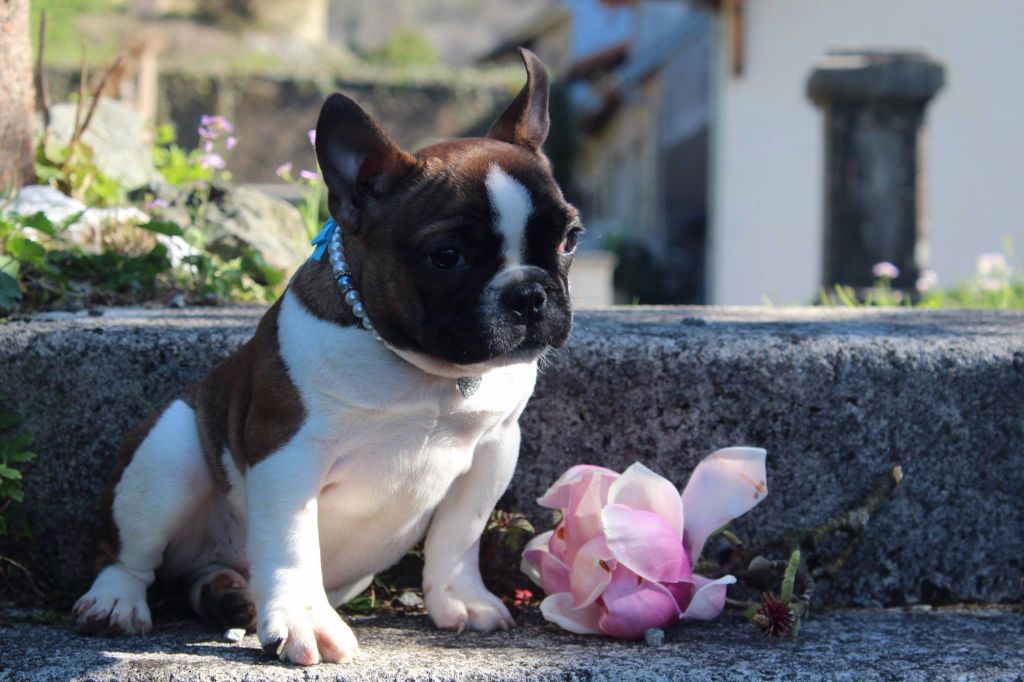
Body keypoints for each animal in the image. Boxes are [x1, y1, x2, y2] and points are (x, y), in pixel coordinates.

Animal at [72, 49, 585, 663]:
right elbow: (293, 545)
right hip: (166, 453)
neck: (428, 374)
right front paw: (304, 622)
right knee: (127, 554)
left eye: (570, 239)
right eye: (447, 257)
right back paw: (116, 602)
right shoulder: (287, 455)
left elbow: (459, 533)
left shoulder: (493, 448)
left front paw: (460, 600)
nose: (529, 294)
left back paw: (226, 593)